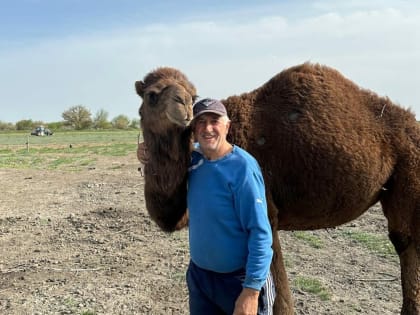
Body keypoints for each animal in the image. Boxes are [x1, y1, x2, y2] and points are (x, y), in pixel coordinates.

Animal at [135, 63, 420, 314]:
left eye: (193, 95)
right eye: (151, 95)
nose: (182, 103)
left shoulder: (266, 210)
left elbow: (280, 299)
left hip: (409, 171)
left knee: (406, 242)